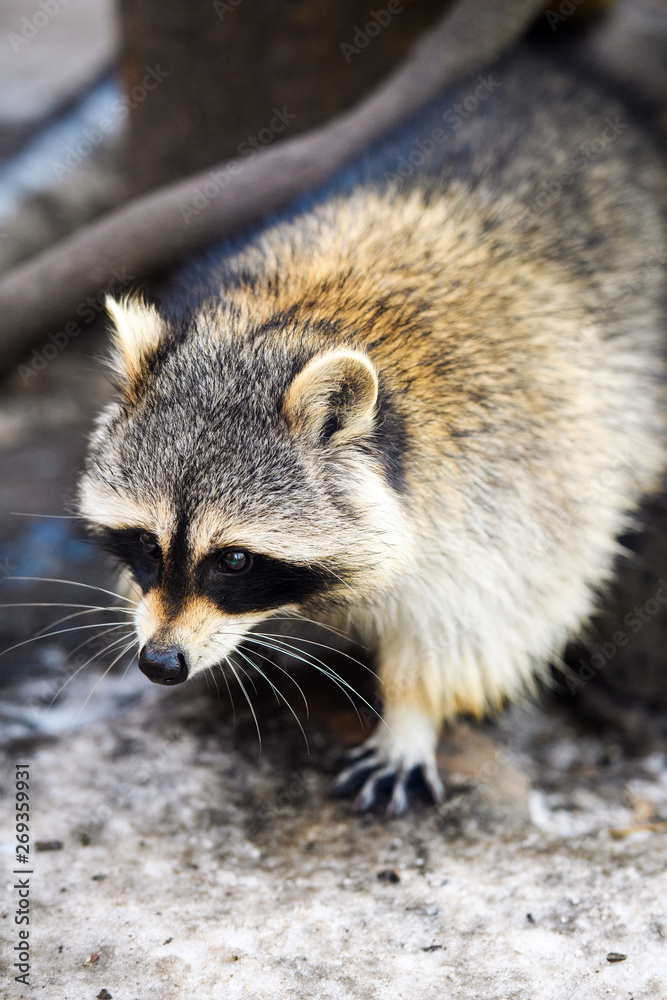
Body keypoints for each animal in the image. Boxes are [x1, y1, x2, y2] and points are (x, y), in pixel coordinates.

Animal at [77, 47, 667, 812]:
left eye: (233, 560)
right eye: (147, 544)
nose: (161, 663)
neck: (289, 323)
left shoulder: (512, 477)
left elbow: (486, 621)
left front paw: (412, 713)